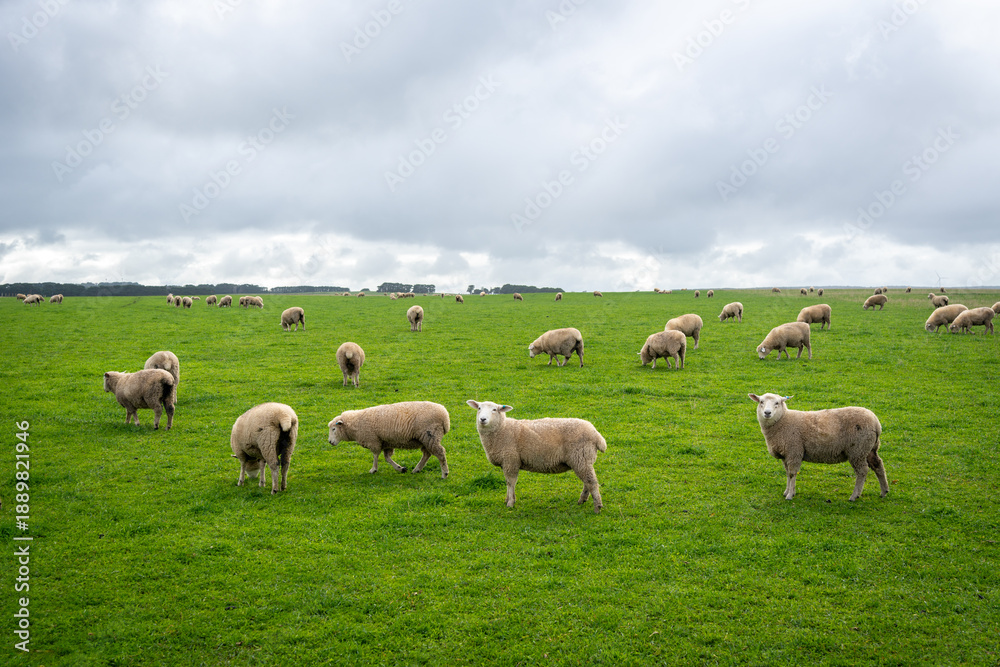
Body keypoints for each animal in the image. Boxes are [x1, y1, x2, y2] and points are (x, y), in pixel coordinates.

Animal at [466, 400, 607, 513]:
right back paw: (582, 500)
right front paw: (507, 499)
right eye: (479, 408)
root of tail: (596, 435)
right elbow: (507, 482)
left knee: (592, 482)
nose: (482, 419)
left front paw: (510, 503)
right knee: (587, 482)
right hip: (583, 460)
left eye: (494, 409)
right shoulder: (506, 462)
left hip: (581, 457)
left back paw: (597, 507)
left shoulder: (511, 460)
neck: (502, 429)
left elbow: (511, 482)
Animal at [748, 393, 888, 501]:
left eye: (777, 403)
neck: (782, 421)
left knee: (862, 471)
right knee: (878, 465)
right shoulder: (786, 454)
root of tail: (876, 423)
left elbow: (792, 474)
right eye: (761, 402)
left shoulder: (794, 451)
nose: (767, 413)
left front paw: (790, 495)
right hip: (869, 448)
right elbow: (788, 473)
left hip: (857, 450)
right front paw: (787, 491)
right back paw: (884, 491)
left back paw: (854, 496)